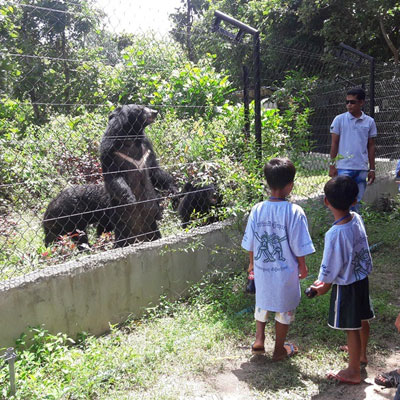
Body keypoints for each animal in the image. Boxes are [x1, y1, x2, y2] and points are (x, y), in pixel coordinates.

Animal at [99, 104, 177, 247]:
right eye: (140, 109)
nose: (155, 112)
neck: (131, 137)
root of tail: (140, 237)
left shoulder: (147, 148)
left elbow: (155, 171)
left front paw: (174, 190)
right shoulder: (110, 151)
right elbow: (114, 177)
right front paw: (130, 198)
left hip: (153, 228)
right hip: (121, 228)